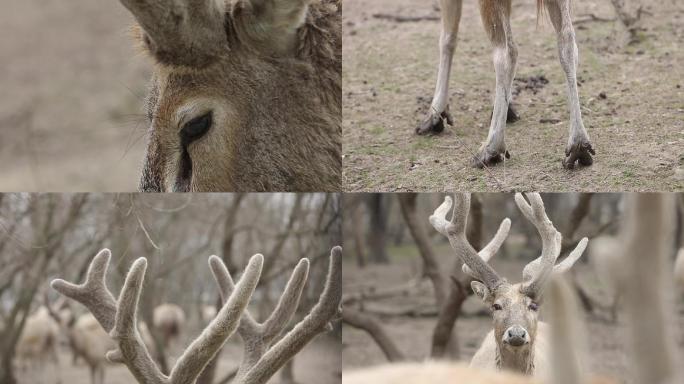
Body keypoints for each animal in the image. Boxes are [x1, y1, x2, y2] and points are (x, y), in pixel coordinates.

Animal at [416, 0, 592, 170]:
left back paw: (490, 149)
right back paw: (578, 145)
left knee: (506, 51)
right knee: (567, 39)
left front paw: (434, 115)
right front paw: (509, 109)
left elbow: (447, 37)